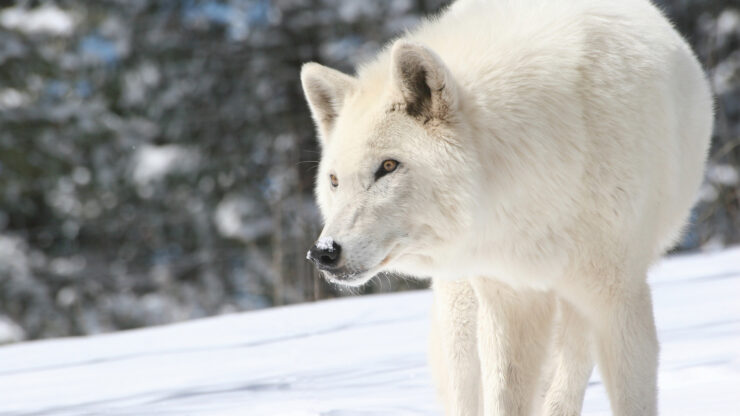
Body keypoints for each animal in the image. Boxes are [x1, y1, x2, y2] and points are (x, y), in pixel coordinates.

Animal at [300, 0, 712, 416]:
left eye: (388, 166)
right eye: (334, 181)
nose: (323, 253)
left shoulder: (617, 296)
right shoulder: (509, 296)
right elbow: (503, 397)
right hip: (463, 308)